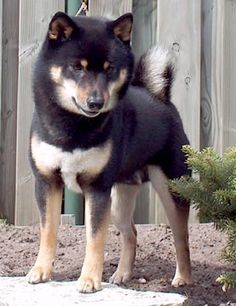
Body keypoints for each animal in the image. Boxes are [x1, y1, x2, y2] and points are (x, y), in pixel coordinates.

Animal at [26, 11, 191, 292]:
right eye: (77, 67)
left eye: (109, 69)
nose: (96, 102)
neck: (74, 127)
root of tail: (159, 97)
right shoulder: (47, 183)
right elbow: (48, 232)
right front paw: (40, 271)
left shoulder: (97, 189)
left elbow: (95, 240)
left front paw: (90, 280)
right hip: (119, 199)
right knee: (131, 234)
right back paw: (122, 274)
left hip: (171, 189)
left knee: (181, 237)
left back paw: (183, 278)